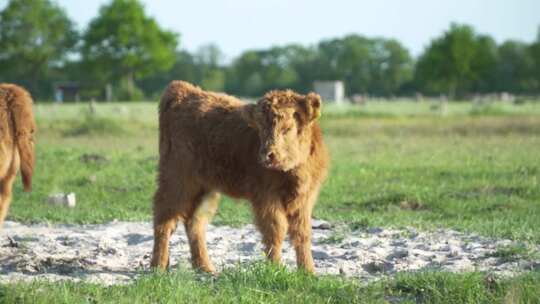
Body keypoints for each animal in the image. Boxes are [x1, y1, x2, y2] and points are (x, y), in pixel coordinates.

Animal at [152, 81, 330, 274]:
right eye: (260, 128)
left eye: (287, 128)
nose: (268, 155)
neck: (292, 173)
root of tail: (182, 90)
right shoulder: (266, 197)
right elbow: (276, 230)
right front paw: (275, 268)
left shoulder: (305, 199)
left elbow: (302, 233)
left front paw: (308, 271)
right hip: (177, 181)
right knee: (164, 219)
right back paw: (158, 266)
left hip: (205, 188)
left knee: (195, 222)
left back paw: (205, 267)